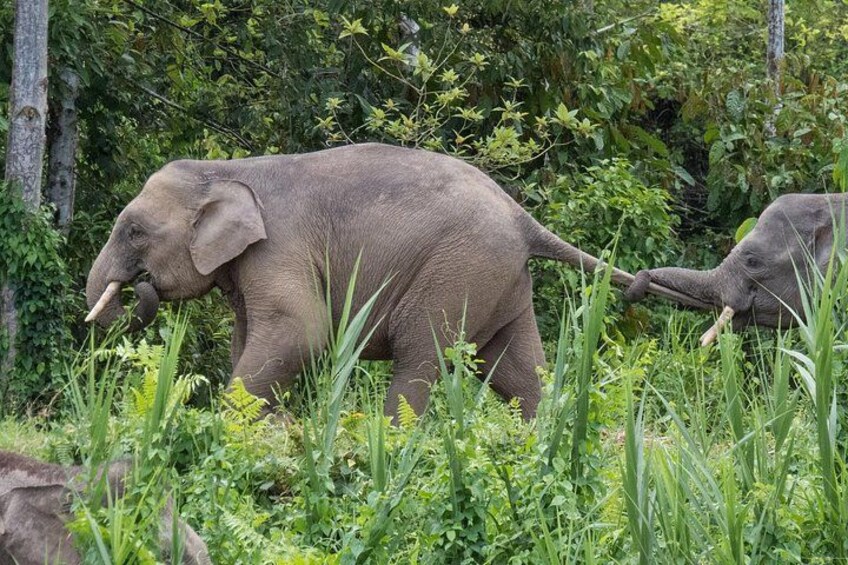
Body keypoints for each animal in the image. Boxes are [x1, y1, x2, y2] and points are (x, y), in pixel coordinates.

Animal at [85, 143, 696, 420]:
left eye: (133, 230)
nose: (137, 289)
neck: (230, 168)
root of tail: (522, 216)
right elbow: (252, 339)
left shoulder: (280, 249)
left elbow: (299, 331)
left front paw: (227, 425)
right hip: (500, 277)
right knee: (517, 368)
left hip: (458, 269)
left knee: (419, 352)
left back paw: (386, 436)